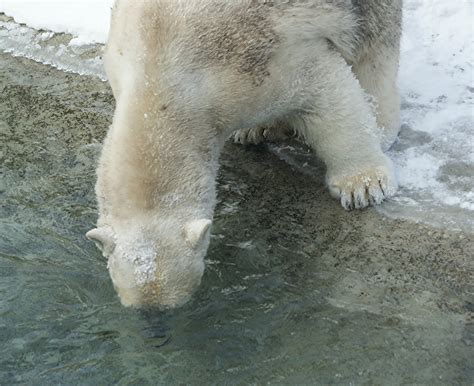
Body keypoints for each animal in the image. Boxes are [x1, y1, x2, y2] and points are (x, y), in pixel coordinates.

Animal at [87, 0, 402, 308]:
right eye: (133, 302)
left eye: (171, 304)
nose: (155, 320)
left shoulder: (255, 60)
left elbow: (324, 91)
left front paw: (362, 184)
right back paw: (255, 130)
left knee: (374, 46)